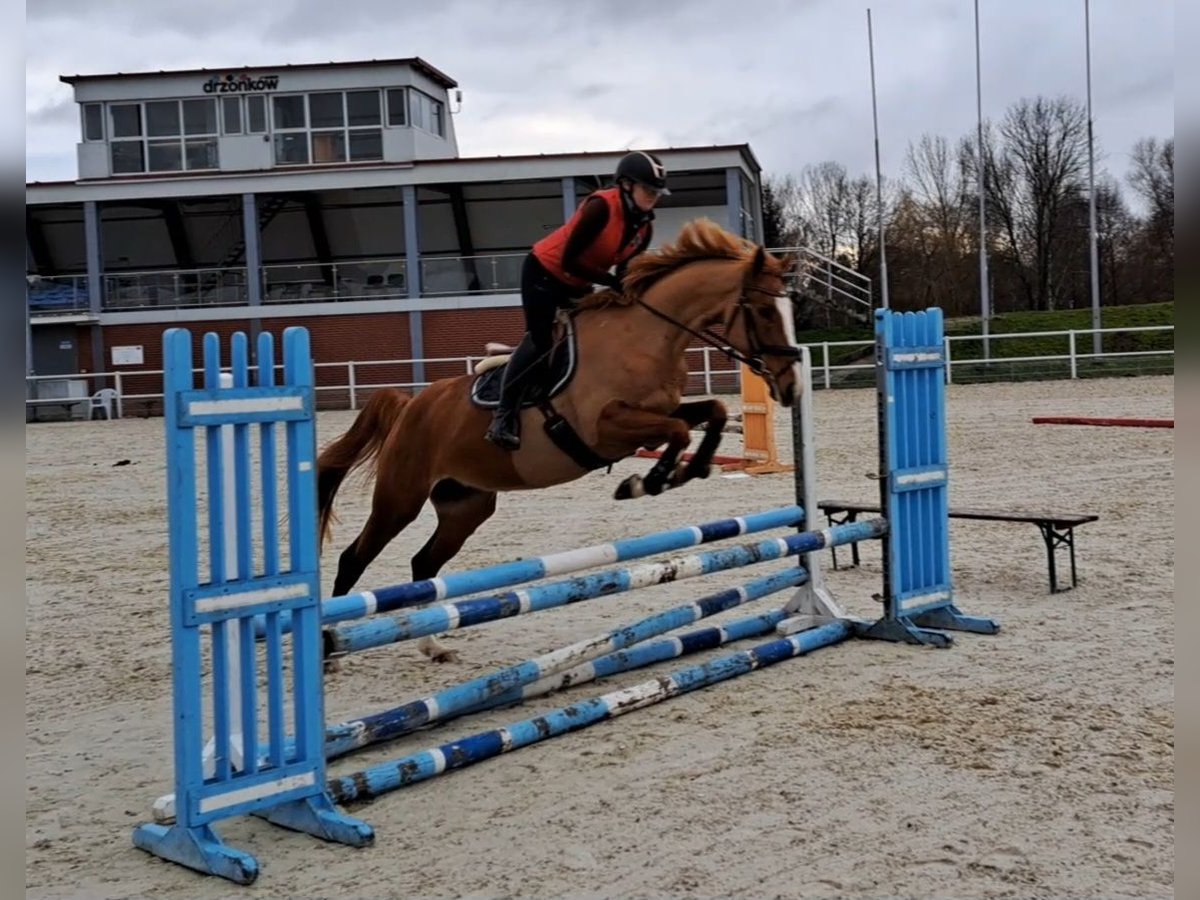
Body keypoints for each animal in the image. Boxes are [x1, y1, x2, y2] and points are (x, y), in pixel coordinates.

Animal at [316, 219, 803, 644]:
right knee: (354, 558)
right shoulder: (607, 428)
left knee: (423, 565)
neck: (647, 336)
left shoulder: (658, 415)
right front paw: (647, 482)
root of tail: (411, 405)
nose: (791, 386)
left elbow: (712, 413)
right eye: (764, 310)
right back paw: (328, 645)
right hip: (401, 497)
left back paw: (432, 645)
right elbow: (678, 432)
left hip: (465, 505)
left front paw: (684, 472)